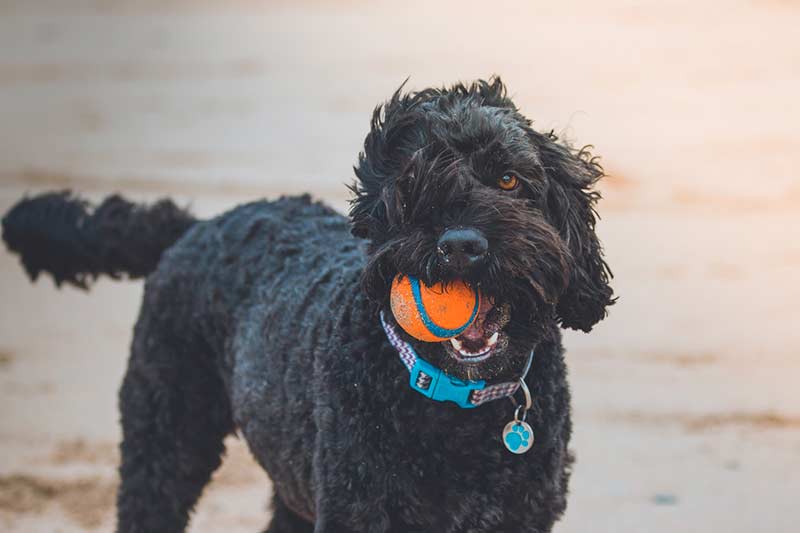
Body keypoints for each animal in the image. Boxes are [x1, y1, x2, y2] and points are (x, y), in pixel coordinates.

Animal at [1, 77, 612, 528]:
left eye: (508, 179)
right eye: (411, 186)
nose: (461, 245)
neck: (455, 403)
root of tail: (197, 226)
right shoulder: (357, 510)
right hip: (165, 436)